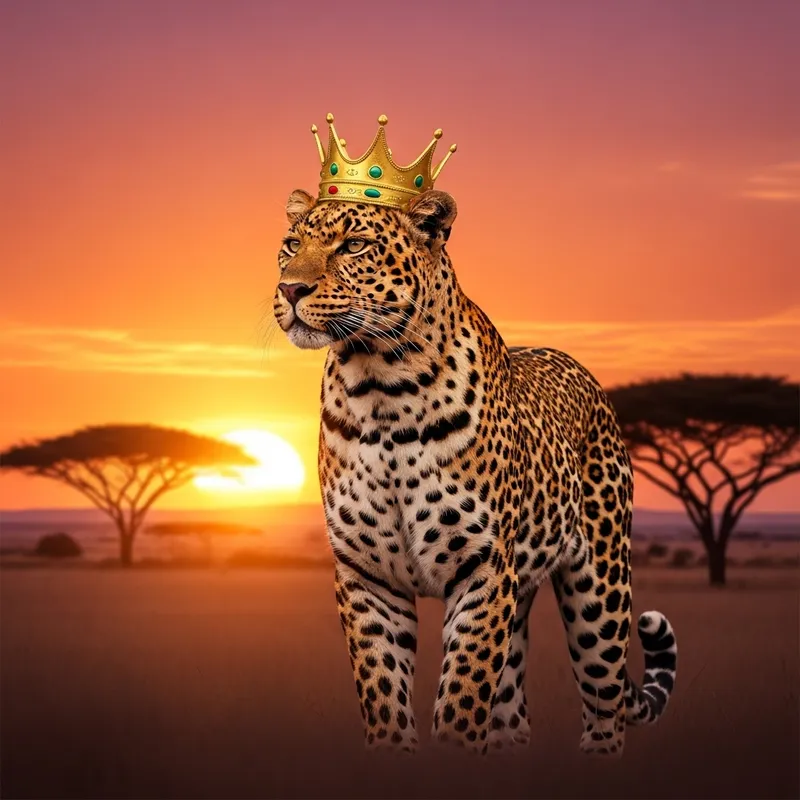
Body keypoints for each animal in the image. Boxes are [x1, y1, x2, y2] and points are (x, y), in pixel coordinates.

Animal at [272, 186, 677, 756]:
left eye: (354, 245)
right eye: (292, 244)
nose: (290, 288)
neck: (380, 387)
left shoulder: (482, 571)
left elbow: (462, 701)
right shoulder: (366, 576)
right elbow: (385, 697)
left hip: (601, 590)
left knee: (606, 708)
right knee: (512, 714)